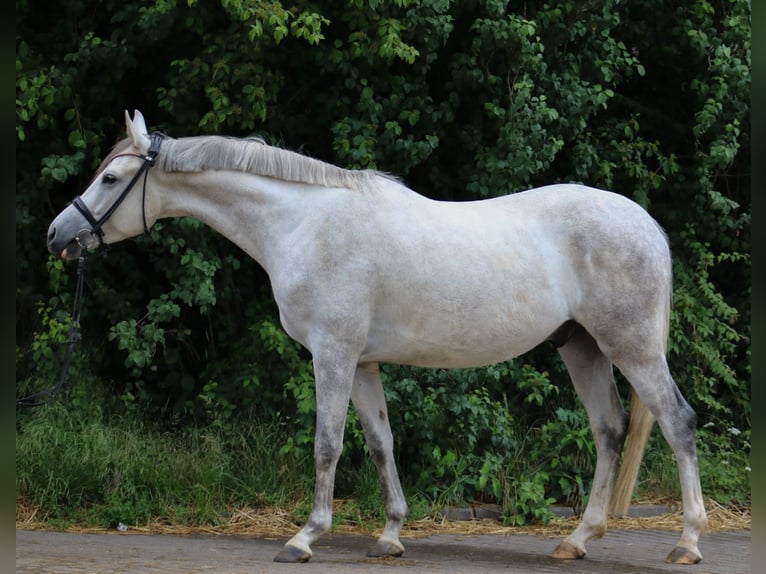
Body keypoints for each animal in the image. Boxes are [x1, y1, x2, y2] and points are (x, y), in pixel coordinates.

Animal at [47, 110, 707, 565]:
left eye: (110, 178)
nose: (58, 236)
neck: (304, 224)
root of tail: (648, 225)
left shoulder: (333, 354)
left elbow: (327, 444)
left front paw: (305, 537)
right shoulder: (362, 363)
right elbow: (380, 443)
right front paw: (390, 535)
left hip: (631, 347)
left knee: (676, 422)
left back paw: (687, 542)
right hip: (582, 346)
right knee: (609, 431)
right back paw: (578, 538)